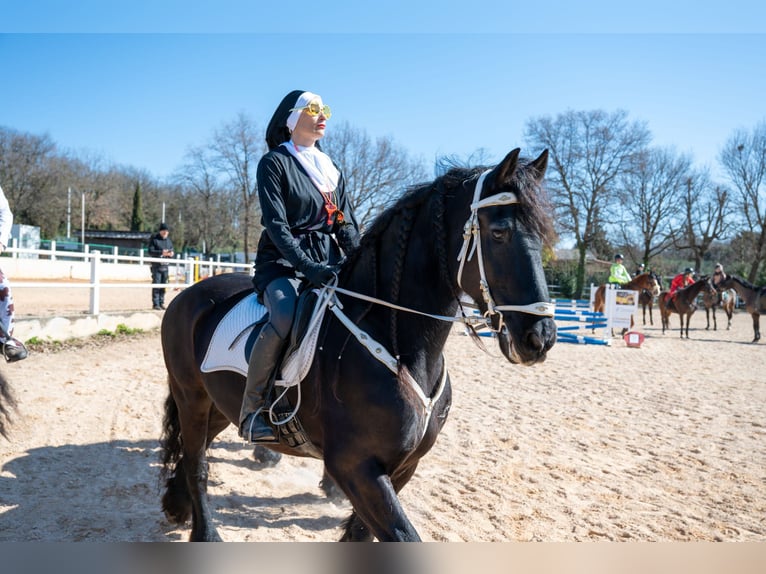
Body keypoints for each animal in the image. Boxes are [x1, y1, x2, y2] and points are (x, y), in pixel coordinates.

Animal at [158, 148, 557, 542]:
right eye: (499, 232)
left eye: (542, 236)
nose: (540, 337)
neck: (399, 348)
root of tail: (189, 294)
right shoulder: (355, 467)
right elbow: (403, 536)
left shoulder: (402, 466)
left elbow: (363, 535)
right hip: (191, 396)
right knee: (196, 462)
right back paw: (205, 533)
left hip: (220, 403)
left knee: (200, 447)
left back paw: (177, 504)